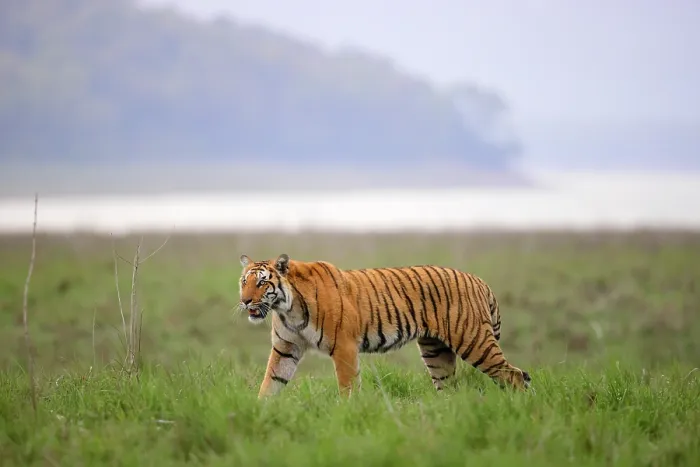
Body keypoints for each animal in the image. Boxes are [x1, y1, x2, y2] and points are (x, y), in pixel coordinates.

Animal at [237, 253, 531, 398]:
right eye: (244, 281)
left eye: (262, 282)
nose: (245, 300)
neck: (287, 308)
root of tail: (478, 279)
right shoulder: (286, 347)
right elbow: (271, 382)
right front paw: (260, 411)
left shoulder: (344, 347)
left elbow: (347, 386)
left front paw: (349, 414)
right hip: (435, 351)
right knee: (449, 387)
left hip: (474, 341)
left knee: (515, 375)